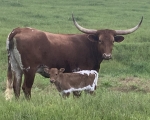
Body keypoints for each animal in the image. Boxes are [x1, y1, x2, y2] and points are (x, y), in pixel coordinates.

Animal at [4, 14, 143, 100]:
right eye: (100, 40)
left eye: (113, 41)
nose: (107, 55)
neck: (89, 46)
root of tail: (18, 30)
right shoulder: (80, 71)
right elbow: (78, 92)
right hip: (29, 69)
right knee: (26, 87)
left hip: (16, 67)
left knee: (16, 86)